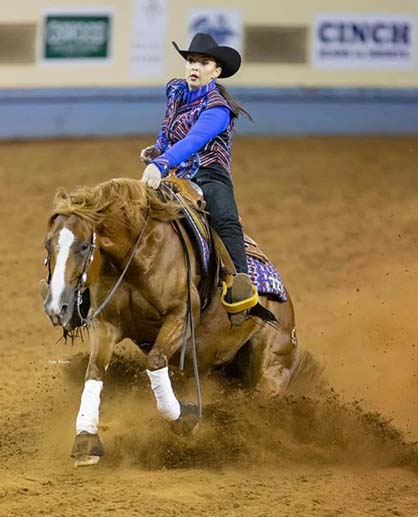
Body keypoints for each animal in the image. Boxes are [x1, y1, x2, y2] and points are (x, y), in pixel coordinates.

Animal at [42, 178, 298, 468]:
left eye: (84, 246)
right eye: (47, 245)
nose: (57, 309)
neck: (137, 255)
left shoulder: (182, 315)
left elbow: (155, 362)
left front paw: (185, 417)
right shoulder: (105, 324)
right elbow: (94, 370)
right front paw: (86, 440)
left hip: (272, 368)